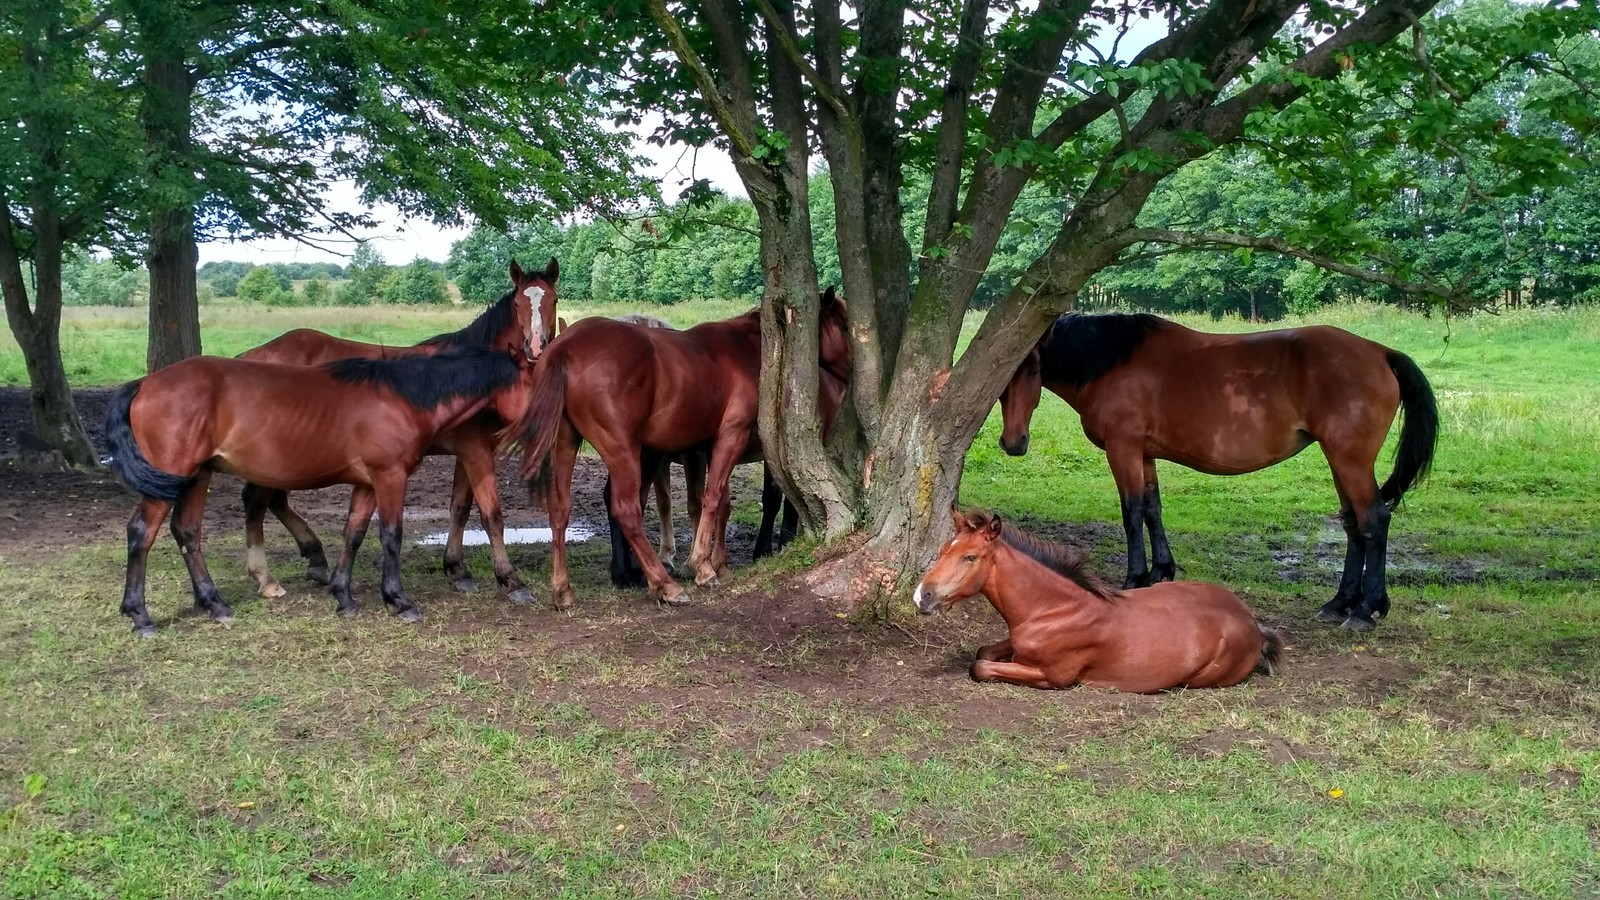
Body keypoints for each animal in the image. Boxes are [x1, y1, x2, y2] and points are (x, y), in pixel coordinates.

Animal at [103, 342, 534, 630]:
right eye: (538, 382)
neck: (403, 398)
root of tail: (145, 384)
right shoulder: (389, 476)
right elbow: (391, 536)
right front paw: (399, 600)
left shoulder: (366, 483)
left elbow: (353, 534)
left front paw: (343, 596)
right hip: (173, 477)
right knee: (142, 533)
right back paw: (140, 615)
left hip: (197, 476)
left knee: (187, 531)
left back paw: (215, 604)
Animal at [233, 256, 560, 598]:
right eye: (518, 302)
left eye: (553, 299)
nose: (536, 348)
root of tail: (250, 356)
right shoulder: (475, 450)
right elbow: (491, 514)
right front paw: (509, 580)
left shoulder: (466, 452)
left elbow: (460, 507)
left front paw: (457, 569)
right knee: (257, 501)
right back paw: (267, 578)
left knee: (273, 501)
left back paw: (315, 559)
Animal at [515, 286, 857, 608]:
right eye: (844, 324)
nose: (854, 370)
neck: (753, 352)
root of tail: (566, 347)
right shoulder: (729, 440)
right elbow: (713, 498)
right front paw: (703, 567)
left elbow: (720, 504)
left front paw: (715, 563)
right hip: (624, 451)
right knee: (626, 509)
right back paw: (662, 583)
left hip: (567, 442)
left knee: (560, 508)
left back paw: (563, 589)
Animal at [915, 509, 1286, 688]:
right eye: (944, 549)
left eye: (970, 557)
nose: (923, 596)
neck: (1055, 609)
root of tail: (1254, 627)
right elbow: (984, 651)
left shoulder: (1054, 677)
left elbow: (979, 665)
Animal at [998, 313, 1440, 630]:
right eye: (1002, 381)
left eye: (1033, 371)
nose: (1013, 443)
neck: (1112, 363)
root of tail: (1380, 351)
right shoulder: (1144, 454)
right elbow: (1153, 509)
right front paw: (1161, 571)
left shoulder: (1123, 449)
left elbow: (1132, 513)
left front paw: (1134, 578)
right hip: (1339, 462)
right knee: (1353, 524)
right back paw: (1339, 603)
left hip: (1349, 459)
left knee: (1373, 520)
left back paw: (1366, 610)